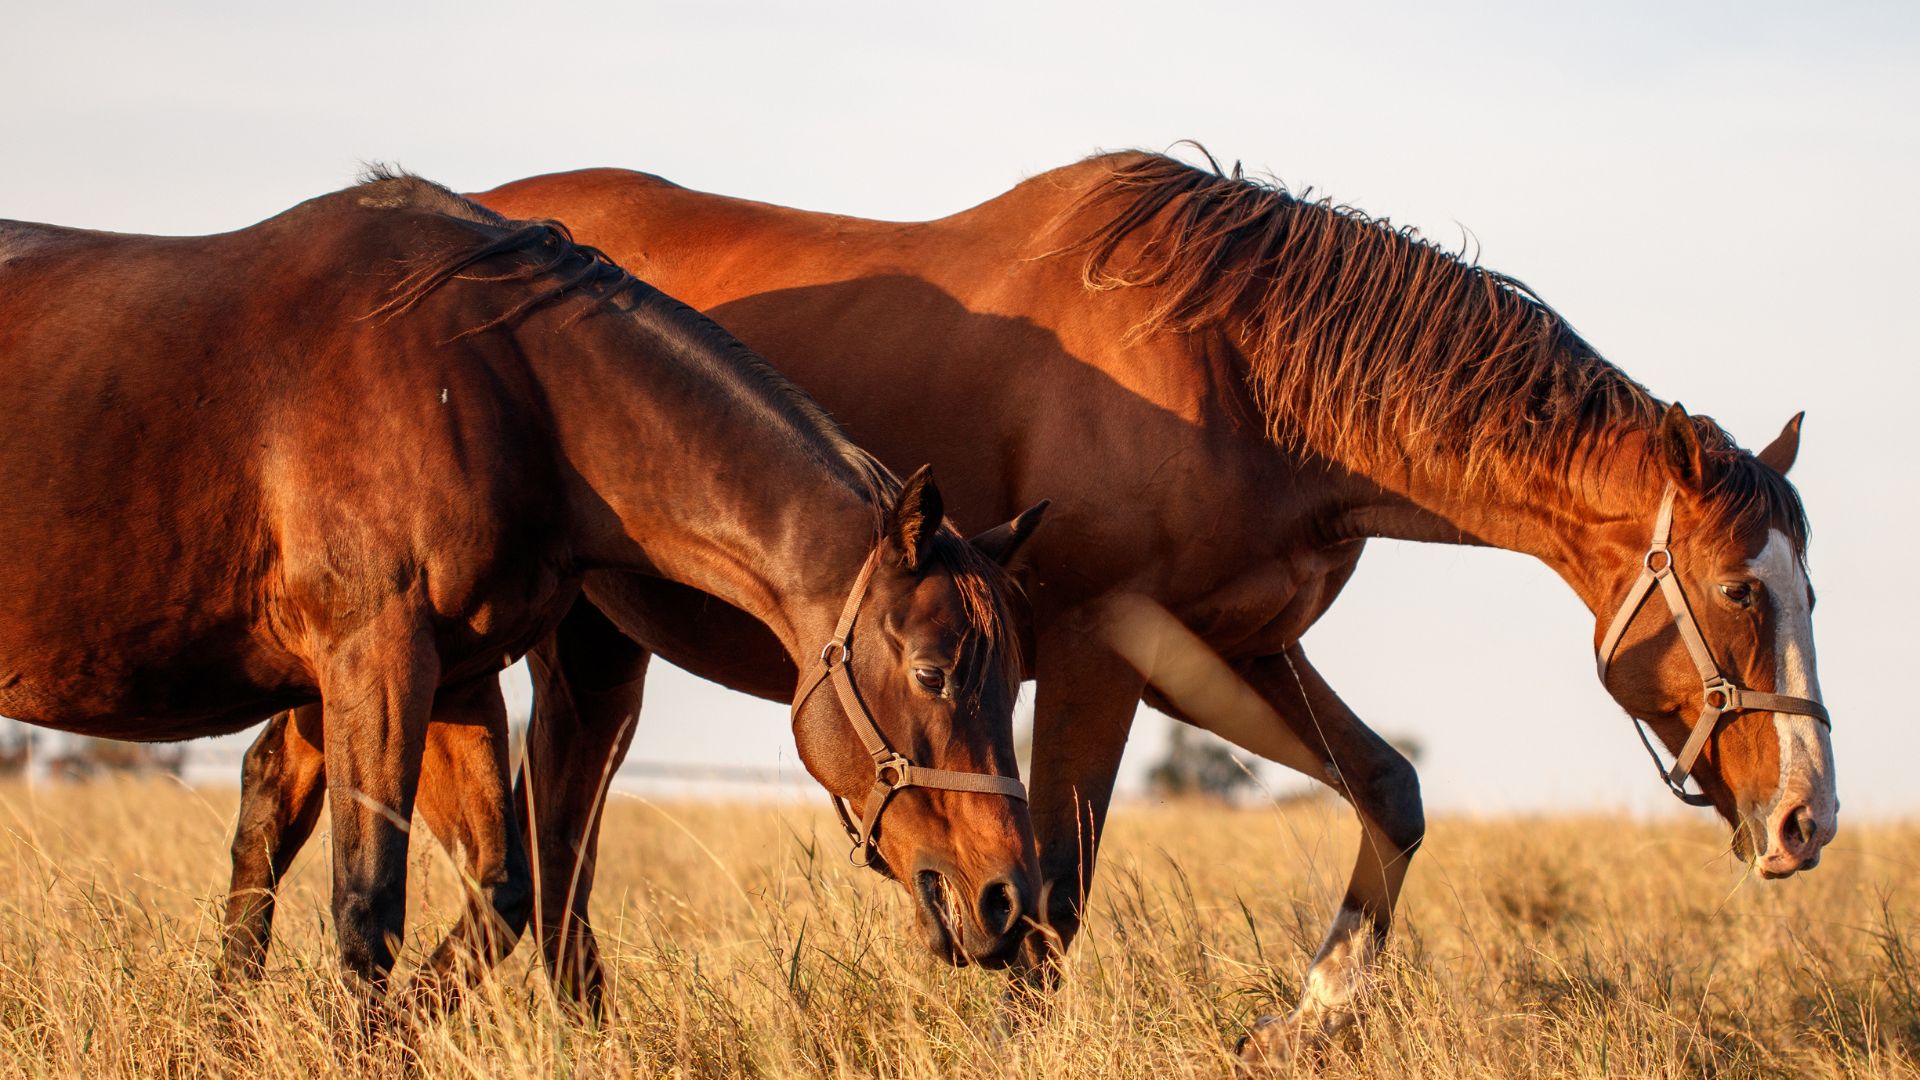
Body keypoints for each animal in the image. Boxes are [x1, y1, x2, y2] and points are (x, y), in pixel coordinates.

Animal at [0, 171, 1044, 1006]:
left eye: (1009, 683)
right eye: (934, 672)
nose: (1009, 900)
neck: (494, 381)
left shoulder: (454, 675)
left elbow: (501, 890)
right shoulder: (377, 662)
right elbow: (368, 911)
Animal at [226, 150, 1834, 1057]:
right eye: (1739, 591)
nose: (1805, 818)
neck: (1242, 362)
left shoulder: (1228, 649)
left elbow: (1391, 792)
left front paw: (1303, 1016)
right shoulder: (1094, 654)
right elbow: (1050, 897)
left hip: (562, 645)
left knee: (390, 803)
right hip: (554, 642)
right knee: (503, 833)